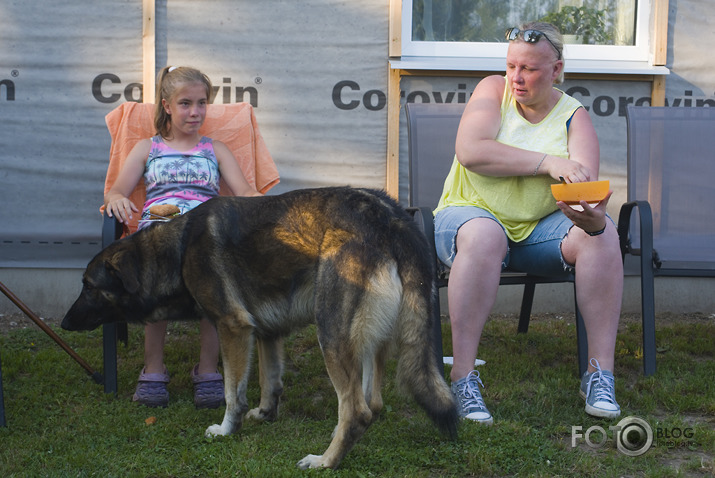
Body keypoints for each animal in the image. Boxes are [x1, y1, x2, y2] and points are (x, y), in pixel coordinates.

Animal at [65, 186, 458, 466]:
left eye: (88, 286)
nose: (65, 323)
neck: (176, 251)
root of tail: (393, 219)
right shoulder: (268, 333)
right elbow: (271, 381)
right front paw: (266, 414)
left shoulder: (233, 328)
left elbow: (232, 392)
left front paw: (227, 429)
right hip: (366, 340)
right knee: (372, 402)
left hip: (331, 333)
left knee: (357, 410)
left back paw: (326, 461)